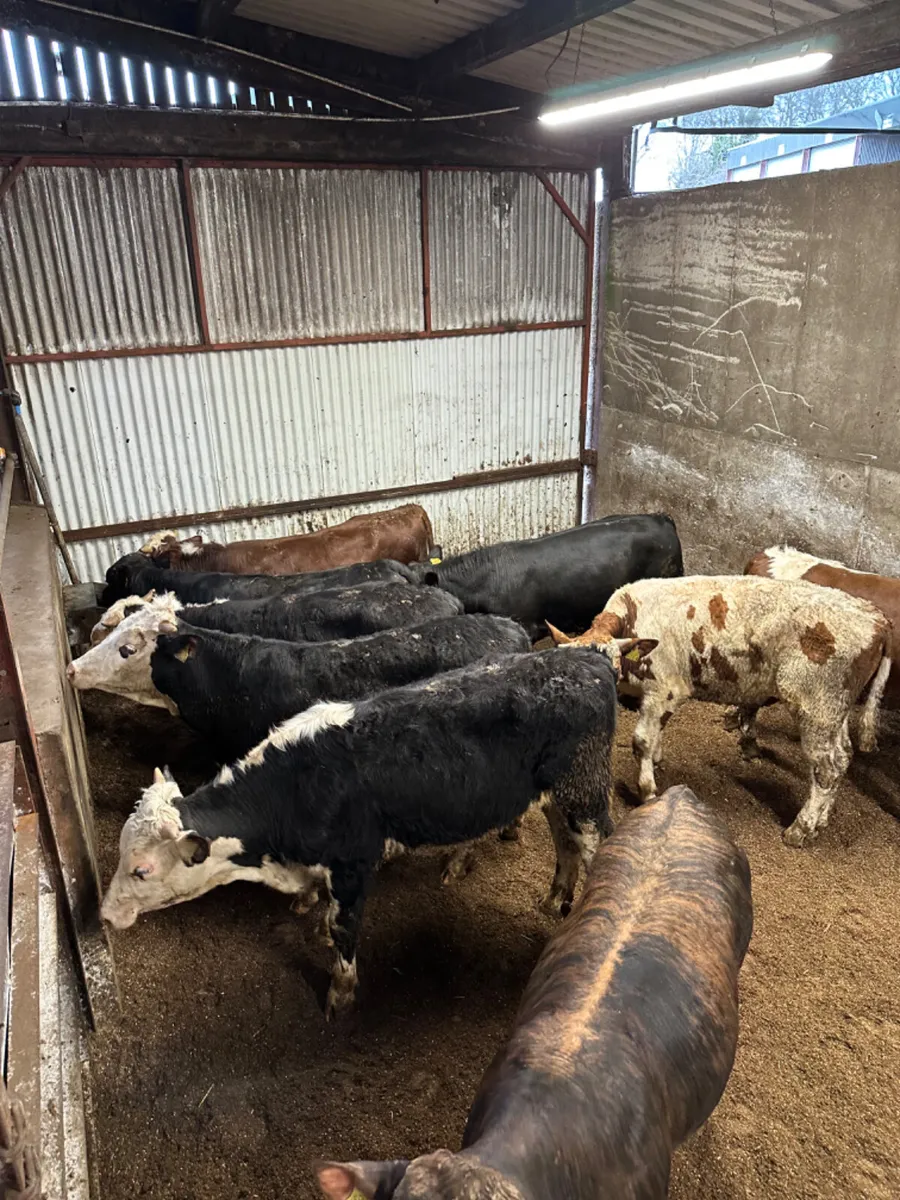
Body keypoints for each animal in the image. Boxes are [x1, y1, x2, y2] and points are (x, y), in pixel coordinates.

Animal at [100, 648, 617, 1018]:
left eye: (141, 869)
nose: (104, 914)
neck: (293, 787)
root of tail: (586, 658)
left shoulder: (352, 863)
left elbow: (342, 928)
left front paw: (341, 995)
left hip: (587, 792)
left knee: (597, 844)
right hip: (557, 793)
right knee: (563, 838)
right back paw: (555, 897)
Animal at [548, 575, 892, 847]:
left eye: (608, 671)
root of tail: (876, 618)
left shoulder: (665, 690)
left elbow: (642, 741)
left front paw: (647, 791)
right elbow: (656, 737)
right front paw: (657, 760)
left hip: (816, 708)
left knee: (826, 769)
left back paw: (801, 829)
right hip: (836, 711)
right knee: (843, 757)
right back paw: (821, 820)